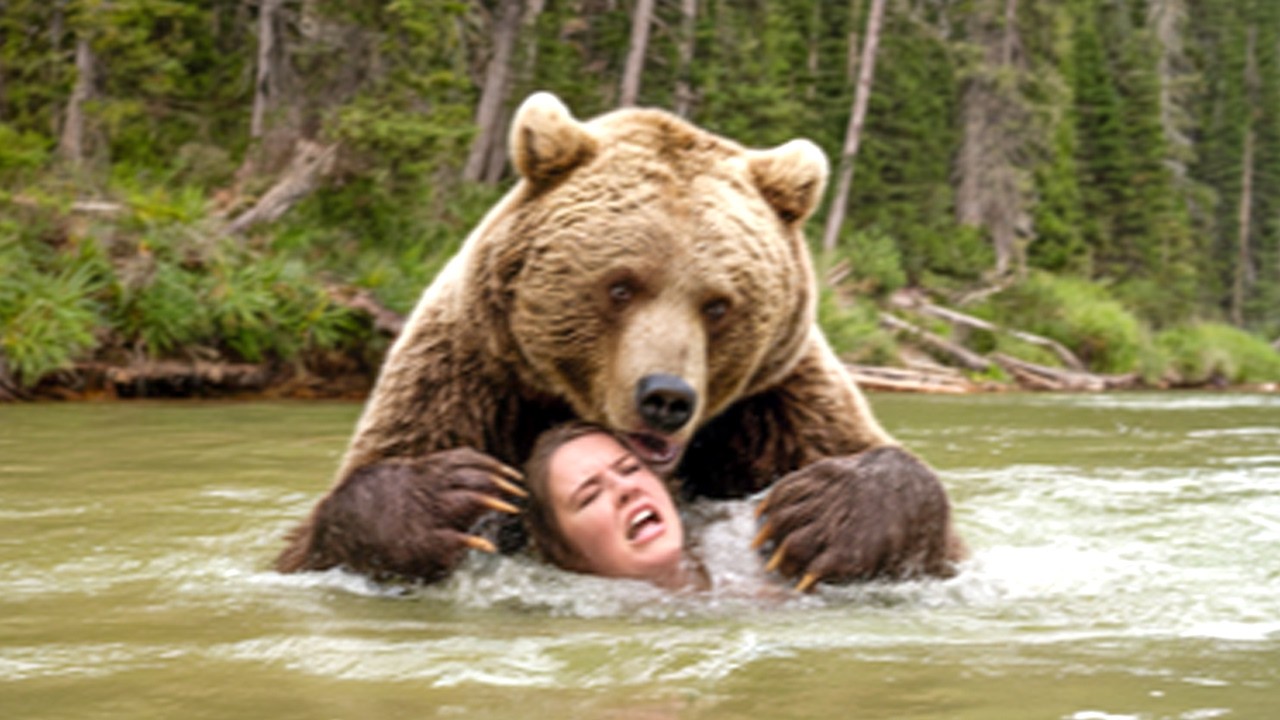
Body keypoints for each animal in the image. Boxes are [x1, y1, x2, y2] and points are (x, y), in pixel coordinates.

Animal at [275, 92, 966, 590]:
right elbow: (327, 528)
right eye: (621, 286)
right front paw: (447, 494)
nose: (667, 397)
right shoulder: (471, 376)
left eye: (719, 304)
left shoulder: (776, 401)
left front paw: (821, 512)